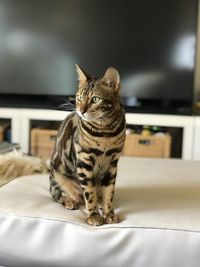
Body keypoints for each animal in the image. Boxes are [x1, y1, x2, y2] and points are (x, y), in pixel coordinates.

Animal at [49, 65, 126, 226]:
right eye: (79, 98)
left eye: (95, 99)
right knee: (57, 194)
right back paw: (70, 200)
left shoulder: (113, 162)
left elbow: (109, 192)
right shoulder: (84, 161)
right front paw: (94, 216)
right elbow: (89, 194)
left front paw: (109, 213)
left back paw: (100, 203)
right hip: (58, 175)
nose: (81, 110)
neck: (105, 131)